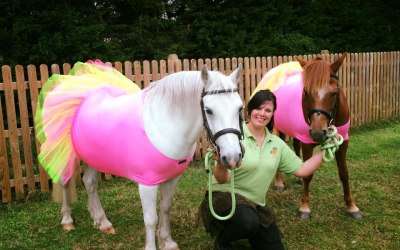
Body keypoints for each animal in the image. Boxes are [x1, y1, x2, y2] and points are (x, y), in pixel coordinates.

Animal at [35, 61, 244, 250]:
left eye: (240, 108)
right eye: (209, 110)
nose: (232, 157)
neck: (164, 123)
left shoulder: (172, 178)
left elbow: (166, 209)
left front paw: (167, 242)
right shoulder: (147, 183)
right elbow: (151, 218)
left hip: (92, 156)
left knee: (90, 183)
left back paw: (102, 222)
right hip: (65, 154)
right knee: (65, 182)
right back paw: (67, 220)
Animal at [262, 53, 362, 219]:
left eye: (334, 92)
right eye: (305, 92)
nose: (317, 133)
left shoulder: (343, 142)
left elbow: (344, 173)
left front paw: (352, 206)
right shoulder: (307, 142)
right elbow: (309, 175)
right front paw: (304, 208)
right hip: (277, 127)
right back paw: (279, 182)